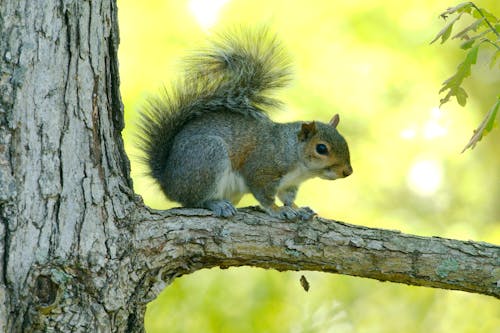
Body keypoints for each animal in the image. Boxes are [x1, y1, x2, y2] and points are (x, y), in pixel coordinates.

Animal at [136, 28, 352, 219]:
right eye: (321, 148)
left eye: (344, 141)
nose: (348, 172)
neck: (294, 157)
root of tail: (167, 182)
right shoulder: (261, 170)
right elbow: (265, 196)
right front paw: (278, 210)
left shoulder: (289, 185)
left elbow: (289, 198)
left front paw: (299, 209)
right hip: (207, 158)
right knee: (195, 200)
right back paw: (216, 204)